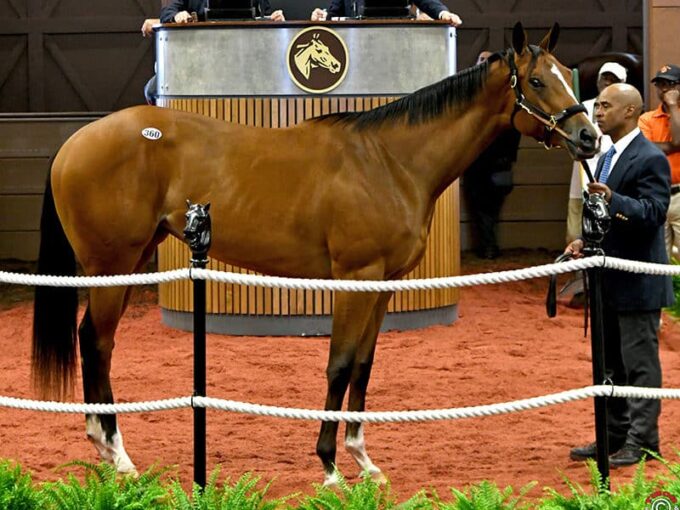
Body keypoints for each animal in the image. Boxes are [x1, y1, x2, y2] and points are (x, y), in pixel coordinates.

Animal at [30, 22, 596, 486]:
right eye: (538, 82)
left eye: (567, 75)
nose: (588, 136)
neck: (391, 160)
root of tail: (75, 142)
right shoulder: (355, 277)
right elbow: (339, 364)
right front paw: (329, 464)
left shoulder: (383, 284)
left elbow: (364, 364)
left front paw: (363, 460)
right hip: (112, 265)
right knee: (96, 342)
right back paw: (117, 454)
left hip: (128, 262)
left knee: (95, 342)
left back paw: (107, 450)